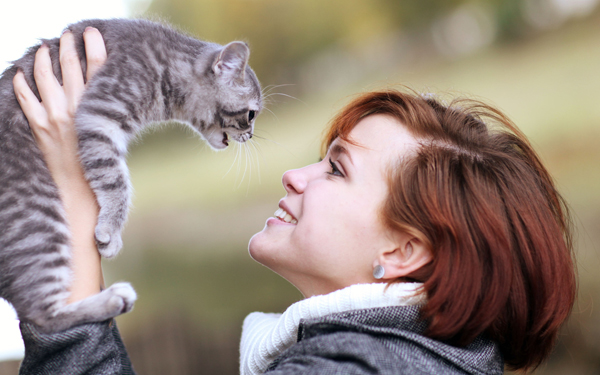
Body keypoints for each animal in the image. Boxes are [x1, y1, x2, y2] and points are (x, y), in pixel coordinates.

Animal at [0, 19, 262, 334]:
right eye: (251, 115)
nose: (251, 135)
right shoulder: (99, 115)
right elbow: (117, 181)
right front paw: (111, 229)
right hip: (37, 219)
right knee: (39, 314)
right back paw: (112, 298)